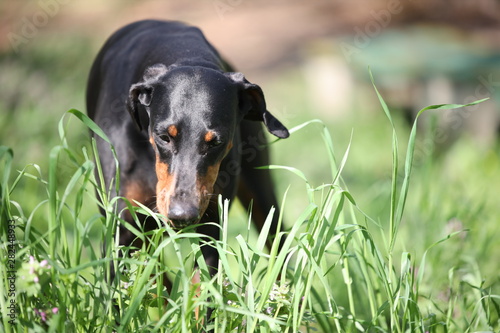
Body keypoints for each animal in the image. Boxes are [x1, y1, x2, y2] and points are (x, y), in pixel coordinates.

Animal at [86, 18, 290, 274]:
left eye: (216, 142)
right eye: (164, 136)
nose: (182, 214)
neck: (185, 54)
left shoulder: (211, 226)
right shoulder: (120, 228)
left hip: (262, 196)